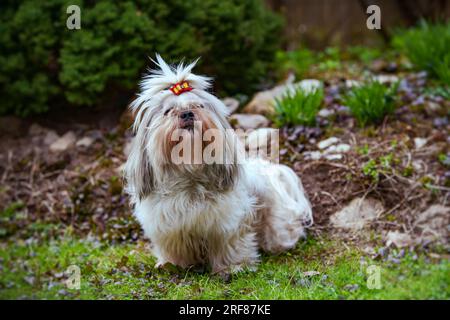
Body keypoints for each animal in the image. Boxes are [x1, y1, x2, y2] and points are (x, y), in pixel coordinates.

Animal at [124, 55, 312, 276]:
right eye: (168, 111)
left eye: (198, 106)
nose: (187, 113)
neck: (189, 177)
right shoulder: (168, 227)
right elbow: (174, 248)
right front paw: (174, 264)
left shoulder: (226, 224)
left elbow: (229, 245)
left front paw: (234, 267)